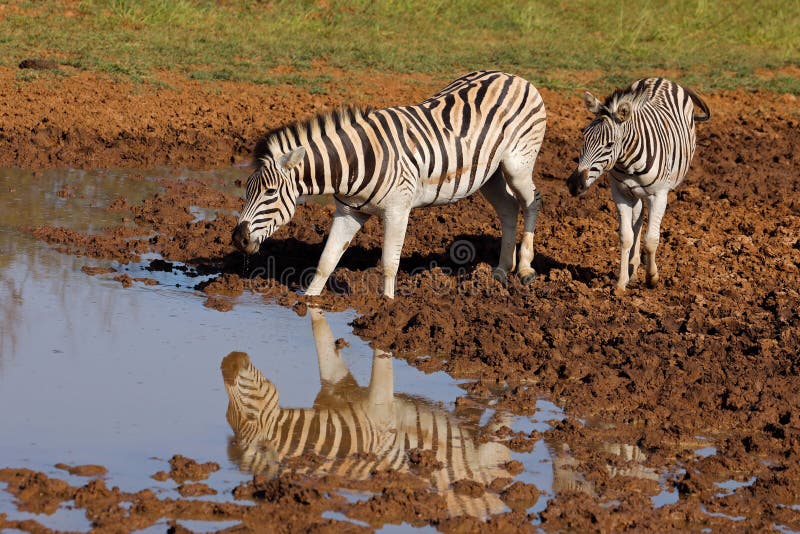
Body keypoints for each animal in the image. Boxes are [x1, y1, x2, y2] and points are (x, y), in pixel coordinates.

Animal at [220, 308, 512, 520]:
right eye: (226, 415)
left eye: (250, 417)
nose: (225, 364)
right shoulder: (333, 390)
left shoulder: (380, 409)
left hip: (492, 453)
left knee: (498, 431)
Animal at [228, 70, 548, 298]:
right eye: (247, 192)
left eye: (270, 192)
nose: (238, 239)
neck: (356, 162)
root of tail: (513, 76)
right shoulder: (349, 211)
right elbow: (326, 261)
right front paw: (308, 301)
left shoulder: (398, 210)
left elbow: (389, 264)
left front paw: (387, 307)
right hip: (488, 175)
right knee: (508, 209)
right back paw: (501, 270)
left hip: (517, 165)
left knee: (532, 201)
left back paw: (525, 268)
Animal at [564, 77, 708, 294]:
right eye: (584, 137)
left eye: (609, 144)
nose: (574, 185)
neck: (627, 162)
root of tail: (661, 78)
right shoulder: (621, 194)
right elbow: (626, 237)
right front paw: (621, 282)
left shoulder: (659, 195)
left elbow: (651, 240)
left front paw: (652, 278)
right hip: (635, 194)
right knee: (637, 222)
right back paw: (633, 265)